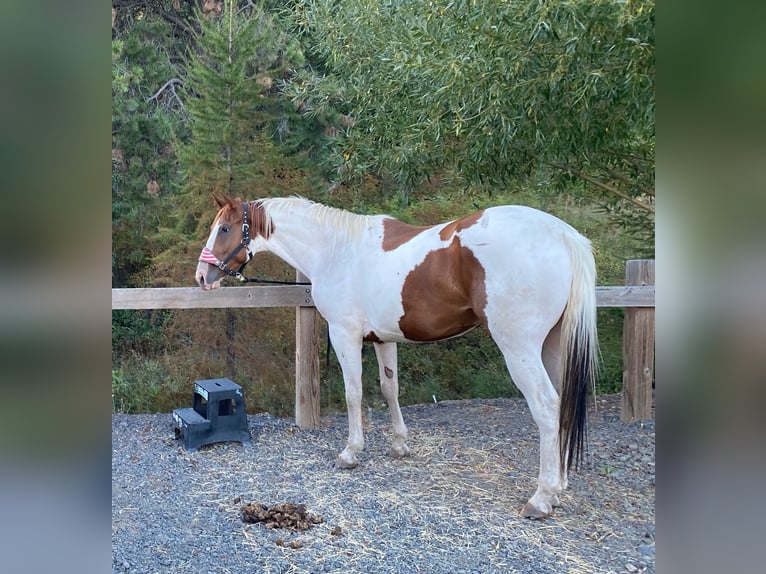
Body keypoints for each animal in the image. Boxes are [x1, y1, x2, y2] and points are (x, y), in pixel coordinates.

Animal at [196, 196, 600, 520]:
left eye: (225, 228)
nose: (202, 275)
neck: (336, 250)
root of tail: (563, 235)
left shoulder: (345, 335)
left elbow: (354, 394)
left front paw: (351, 452)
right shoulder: (383, 339)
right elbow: (390, 389)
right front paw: (400, 445)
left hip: (520, 348)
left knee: (546, 406)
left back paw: (542, 498)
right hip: (551, 347)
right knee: (561, 408)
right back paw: (559, 487)